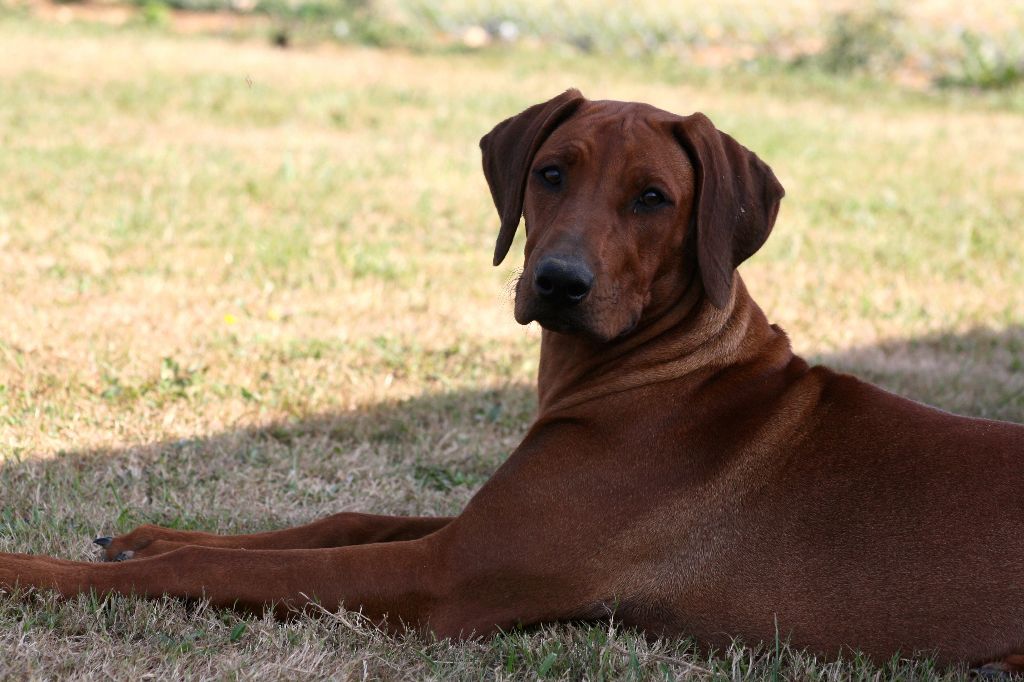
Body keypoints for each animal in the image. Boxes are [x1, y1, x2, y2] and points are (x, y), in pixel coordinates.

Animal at [2, 87, 1024, 667]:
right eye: (551, 173)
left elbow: (219, 567)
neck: (661, 367)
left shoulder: (446, 578)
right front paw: (140, 536)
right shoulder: (470, 532)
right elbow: (340, 518)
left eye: (653, 198)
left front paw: (32, 570)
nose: (560, 281)